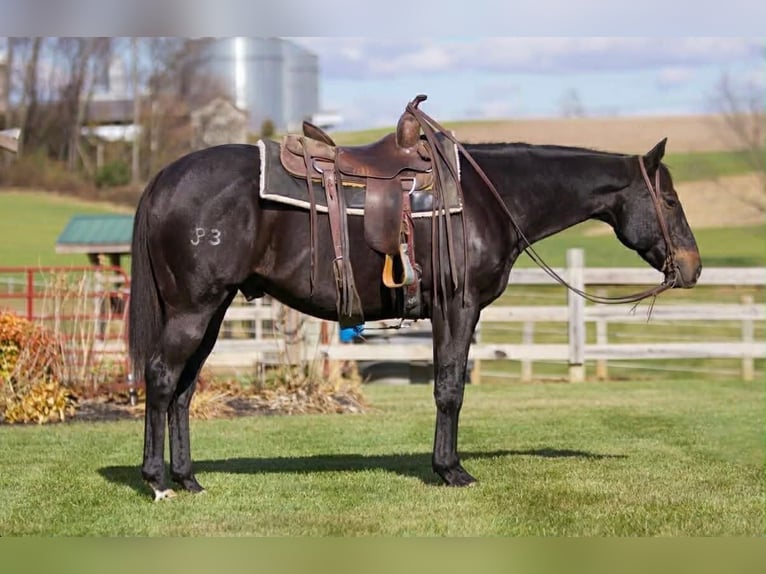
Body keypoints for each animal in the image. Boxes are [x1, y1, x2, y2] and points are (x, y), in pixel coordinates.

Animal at [129, 134, 701, 500]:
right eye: (671, 200)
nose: (693, 267)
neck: (488, 198)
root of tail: (163, 180)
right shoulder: (457, 306)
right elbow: (449, 389)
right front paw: (451, 471)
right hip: (194, 308)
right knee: (161, 379)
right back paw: (157, 481)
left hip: (213, 309)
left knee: (183, 390)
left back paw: (189, 480)